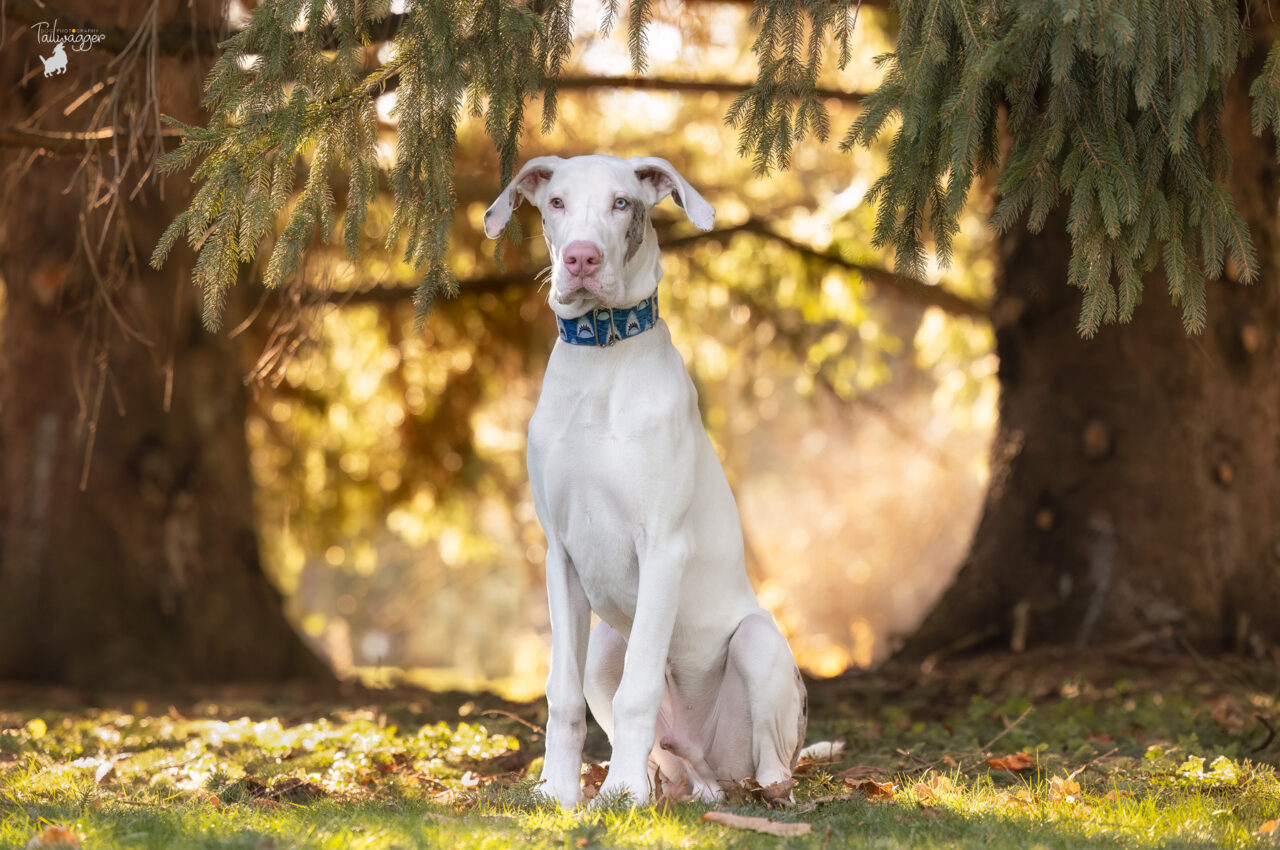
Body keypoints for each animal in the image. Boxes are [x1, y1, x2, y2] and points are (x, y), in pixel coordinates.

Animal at [483, 156, 803, 809]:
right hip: (607, 646)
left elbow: (640, 688)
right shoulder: (559, 554)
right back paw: (680, 787)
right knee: (670, 751)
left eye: (622, 203)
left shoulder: (663, 546)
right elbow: (560, 692)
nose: (580, 258)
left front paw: (623, 793)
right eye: (555, 202)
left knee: (771, 761)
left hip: (757, 643)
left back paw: (761, 789)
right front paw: (556, 791)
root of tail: (712, 765)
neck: (601, 361)